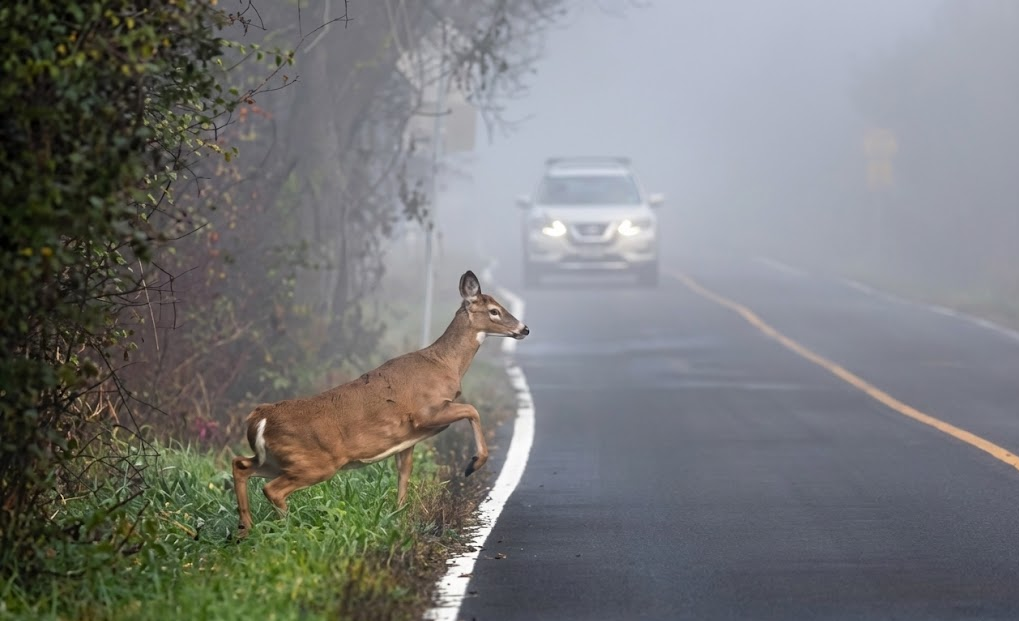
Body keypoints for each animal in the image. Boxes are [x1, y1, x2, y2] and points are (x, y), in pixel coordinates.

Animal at [231, 270, 529, 537]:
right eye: (494, 311)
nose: (524, 328)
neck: (445, 364)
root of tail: (260, 418)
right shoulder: (425, 412)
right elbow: (472, 409)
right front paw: (473, 464)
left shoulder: (407, 439)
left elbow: (404, 473)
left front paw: (399, 517)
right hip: (315, 462)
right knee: (272, 489)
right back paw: (288, 530)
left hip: (277, 459)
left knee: (241, 465)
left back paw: (246, 529)